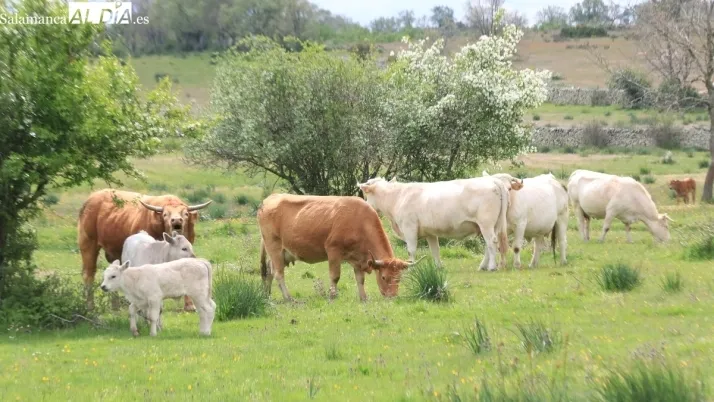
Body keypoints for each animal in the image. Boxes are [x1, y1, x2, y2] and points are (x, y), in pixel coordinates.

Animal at [77, 189, 211, 311]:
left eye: (186, 214)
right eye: (165, 214)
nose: (177, 221)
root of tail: (91, 199)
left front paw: (189, 305)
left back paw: (115, 307)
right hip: (88, 245)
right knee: (88, 274)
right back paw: (90, 306)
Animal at [257, 194, 422, 302]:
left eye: (399, 277)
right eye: (383, 277)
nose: (392, 296)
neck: (360, 221)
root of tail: (269, 199)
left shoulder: (358, 259)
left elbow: (360, 279)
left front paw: (363, 297)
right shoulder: (333, 251)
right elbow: (335, 276)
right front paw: (332, 296)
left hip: (280, 253)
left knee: (269, 272)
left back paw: (267, 295)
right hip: (274, 248)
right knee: (278, 274)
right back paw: (289, 298)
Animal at [357, 176, 522, 271]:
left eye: (366, 193)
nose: (365, 206)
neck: (398, 197)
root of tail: (493, 180)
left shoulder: (409, 227)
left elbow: (411, 250)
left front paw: (410, 268)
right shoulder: (430, 233)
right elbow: (435, 250)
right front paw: (438, 267)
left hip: (486, 223)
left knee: (492, 243)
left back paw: (492, 267)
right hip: (491, 225)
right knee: (489, 245)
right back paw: (482, 266)